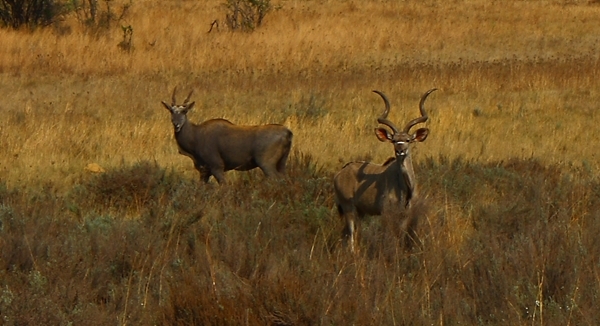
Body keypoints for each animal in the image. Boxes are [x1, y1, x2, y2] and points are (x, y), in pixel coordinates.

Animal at [162, 87, 292, 183]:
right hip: (282, 165)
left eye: (184, 111)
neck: (196, 134)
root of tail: (287, 132)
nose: (176, 124)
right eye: (171, 111)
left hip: (266, 165)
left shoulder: (217, 167)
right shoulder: (204, 172)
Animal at [332, 88, 436, 251]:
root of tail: (339, 174)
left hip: (359, 211)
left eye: (407, 140)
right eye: (394, 140)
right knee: (351, 235)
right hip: (348, 207)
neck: (405, 189)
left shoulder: (404, 215)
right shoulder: (385, 213)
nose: (400, 151)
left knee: (346, 234)